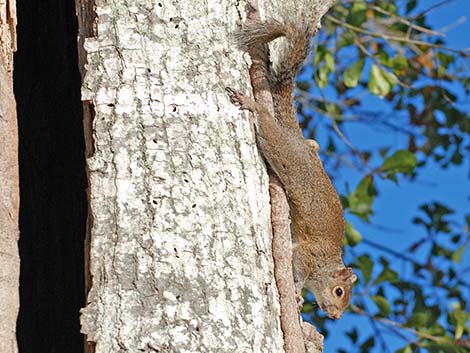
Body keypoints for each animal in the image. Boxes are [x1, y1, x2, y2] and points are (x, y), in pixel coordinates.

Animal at [227, 17, 356, 318]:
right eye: (339, 292)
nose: (334, 315)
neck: (326, 263)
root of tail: (296, 139)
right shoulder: (306, 256)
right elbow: (296, 271)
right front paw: (296, 295)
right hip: (284, 153)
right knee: (266, 124)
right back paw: (252, 105)